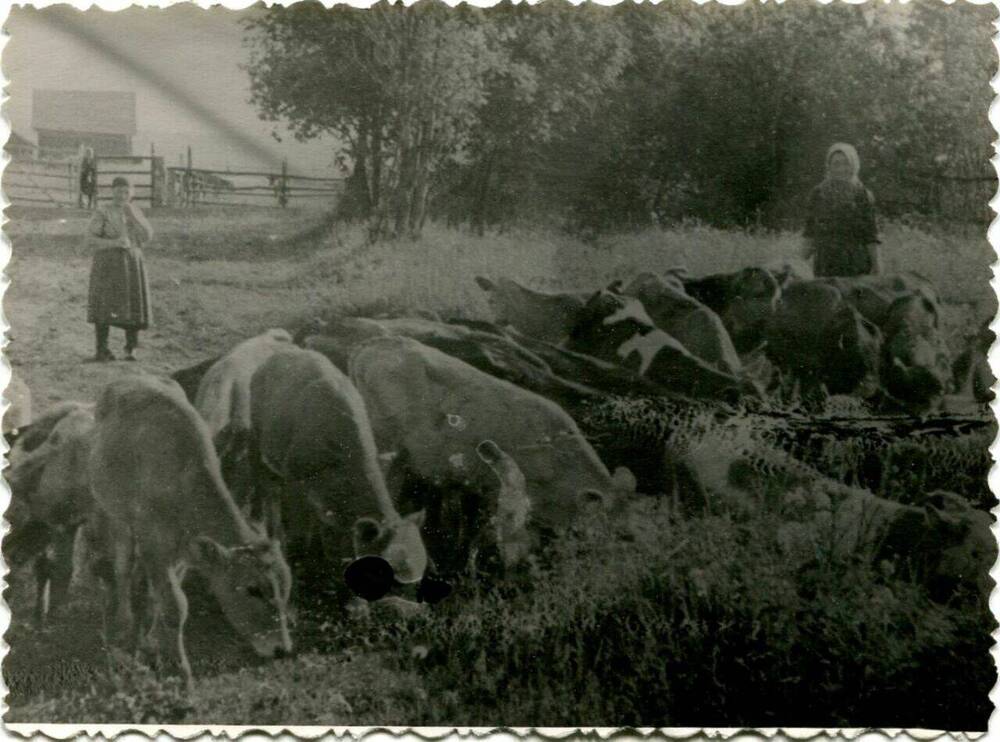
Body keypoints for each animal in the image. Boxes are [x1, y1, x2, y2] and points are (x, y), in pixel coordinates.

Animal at [88, 374, 292, 688]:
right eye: (252, 589)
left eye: (286, 589)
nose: (282, 649)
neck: (182, 481)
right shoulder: (154, 543)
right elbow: (175, 605)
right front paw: (180, 671)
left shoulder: (185, 551)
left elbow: (168, 596)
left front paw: (154, 641)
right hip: (114, 513)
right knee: (122, 567)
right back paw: (123, 622)